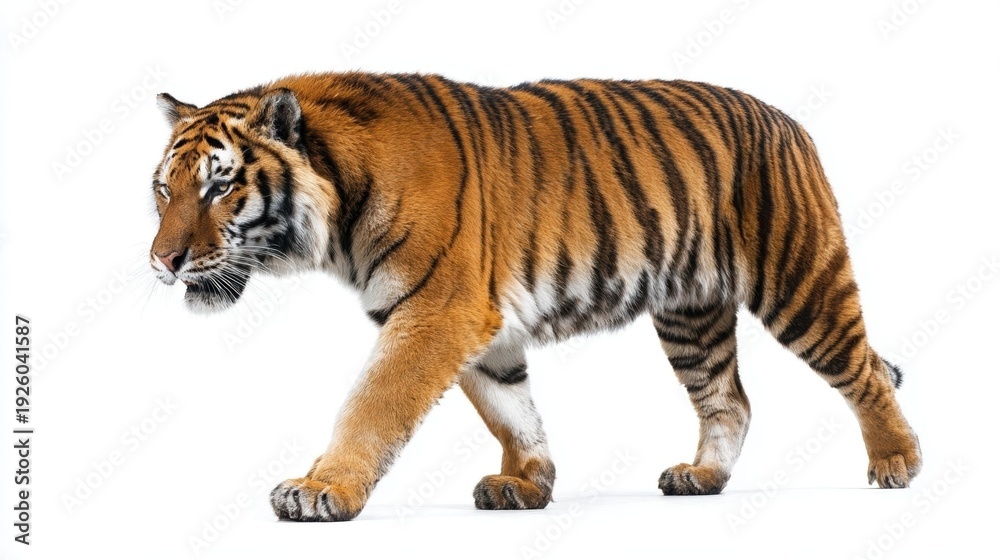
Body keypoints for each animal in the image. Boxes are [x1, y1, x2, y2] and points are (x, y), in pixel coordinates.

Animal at [149, 72, 922, 521]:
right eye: (164, 188)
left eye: (220, 186)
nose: (162, 261)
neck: (337, 207)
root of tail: (787, 119)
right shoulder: (478, 325)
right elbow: (508, 408)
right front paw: (527, 483)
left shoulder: (437, 310)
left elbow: (372, 404)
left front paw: (321, 489)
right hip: (691, 313)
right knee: (730, 399)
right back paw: (702, 477)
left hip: (799, 281)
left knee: (861, 369)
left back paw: (895, 462)